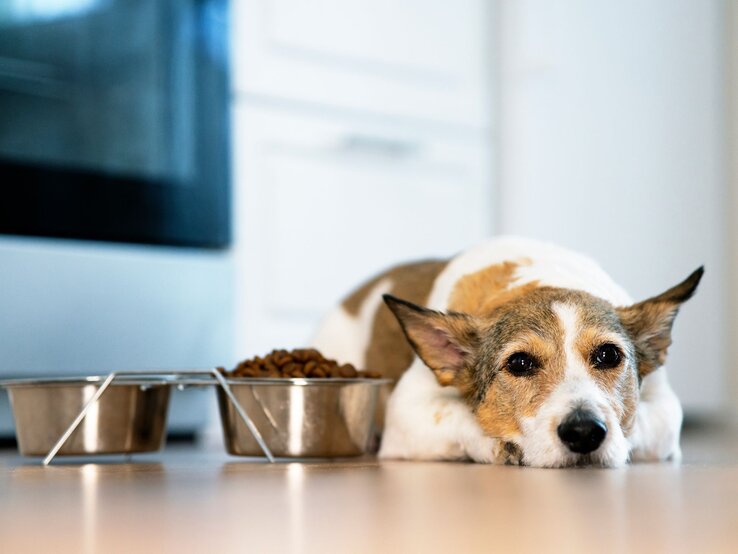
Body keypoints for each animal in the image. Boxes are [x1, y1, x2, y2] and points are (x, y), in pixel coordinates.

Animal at [312, 236, 700, 466]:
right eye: (520, 362)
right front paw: (500, 447)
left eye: (609, 355)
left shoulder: (666, 408)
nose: (584, 431)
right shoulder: (405, 414)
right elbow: (462, 418)